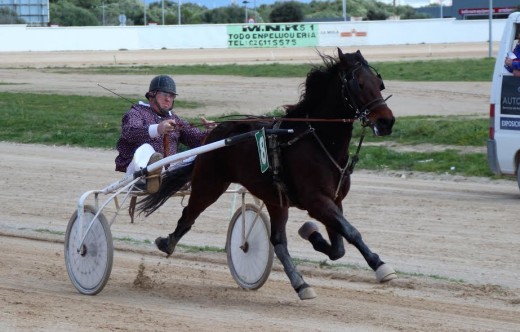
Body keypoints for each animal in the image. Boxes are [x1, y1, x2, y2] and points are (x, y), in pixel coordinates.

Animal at [137, 48, 394, 300]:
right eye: (359, 83)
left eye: (379, 83)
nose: (387, 122)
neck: (318, 141)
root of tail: (214, 134)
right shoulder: (317, 201)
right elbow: (351, 232)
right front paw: (380, 266)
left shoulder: (334, 199)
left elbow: (338, 247)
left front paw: (313, 234)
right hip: (210, 183)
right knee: (189, 214)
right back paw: (167, 242)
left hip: (274, 198)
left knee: (278, 241)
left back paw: (301, 284)